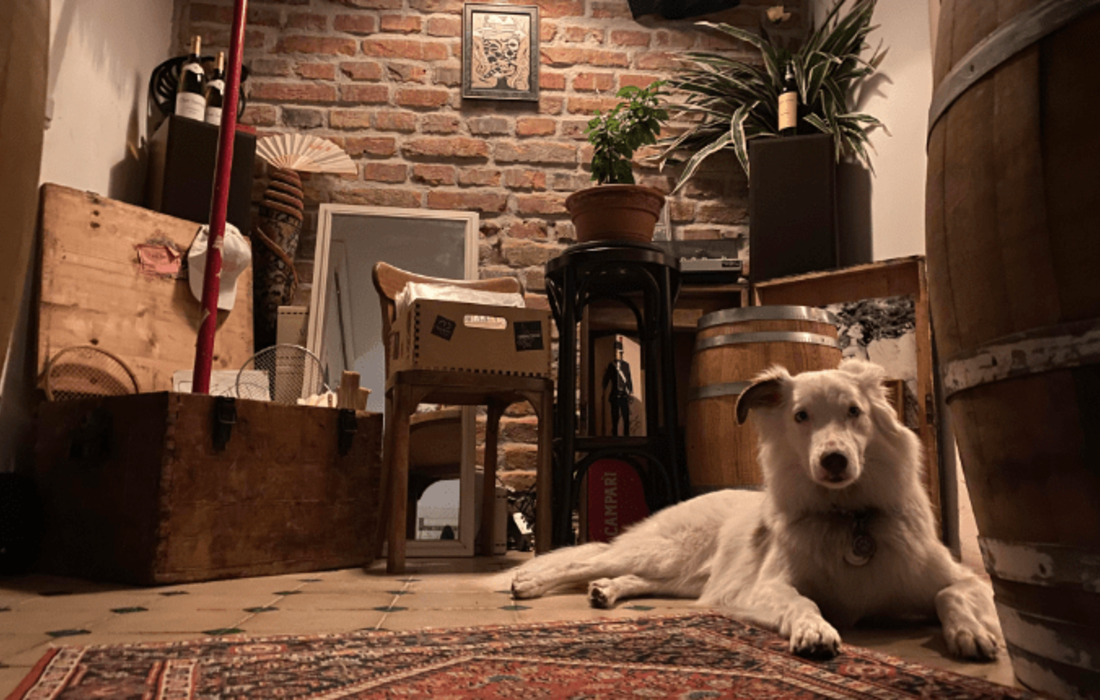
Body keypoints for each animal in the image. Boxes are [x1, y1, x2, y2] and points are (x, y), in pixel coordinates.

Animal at [511, 359, 1003, 660]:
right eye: (801, 416)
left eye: (854, 411)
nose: (834, 460)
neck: (849, 518)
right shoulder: (764, 588)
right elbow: (803, 600)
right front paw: (814, 630)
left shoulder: (964, 579)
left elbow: (951, 593)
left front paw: (972, 631)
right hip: (666, 552)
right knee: (581, 561)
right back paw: (530, 582)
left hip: (687, 577)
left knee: (631, 577)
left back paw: (607, 591)